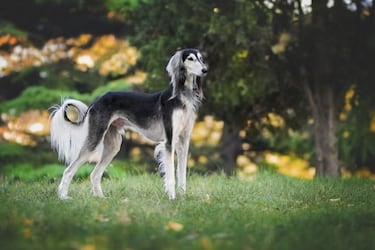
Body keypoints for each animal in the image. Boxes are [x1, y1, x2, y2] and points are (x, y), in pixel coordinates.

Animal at [49, 48, 209, 200]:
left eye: (201, 58)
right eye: (190, 59)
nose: (205, 70)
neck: (181, 97)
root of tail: (97, 100)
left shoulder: (183, 141)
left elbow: (182, 173)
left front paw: (182, 197)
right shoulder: (169, 142)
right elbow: (170, 175)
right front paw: (172, 197)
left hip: (113, 145)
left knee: (94, 174)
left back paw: (101, 198)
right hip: (94, 140)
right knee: (68, 170)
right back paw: (63, 197)